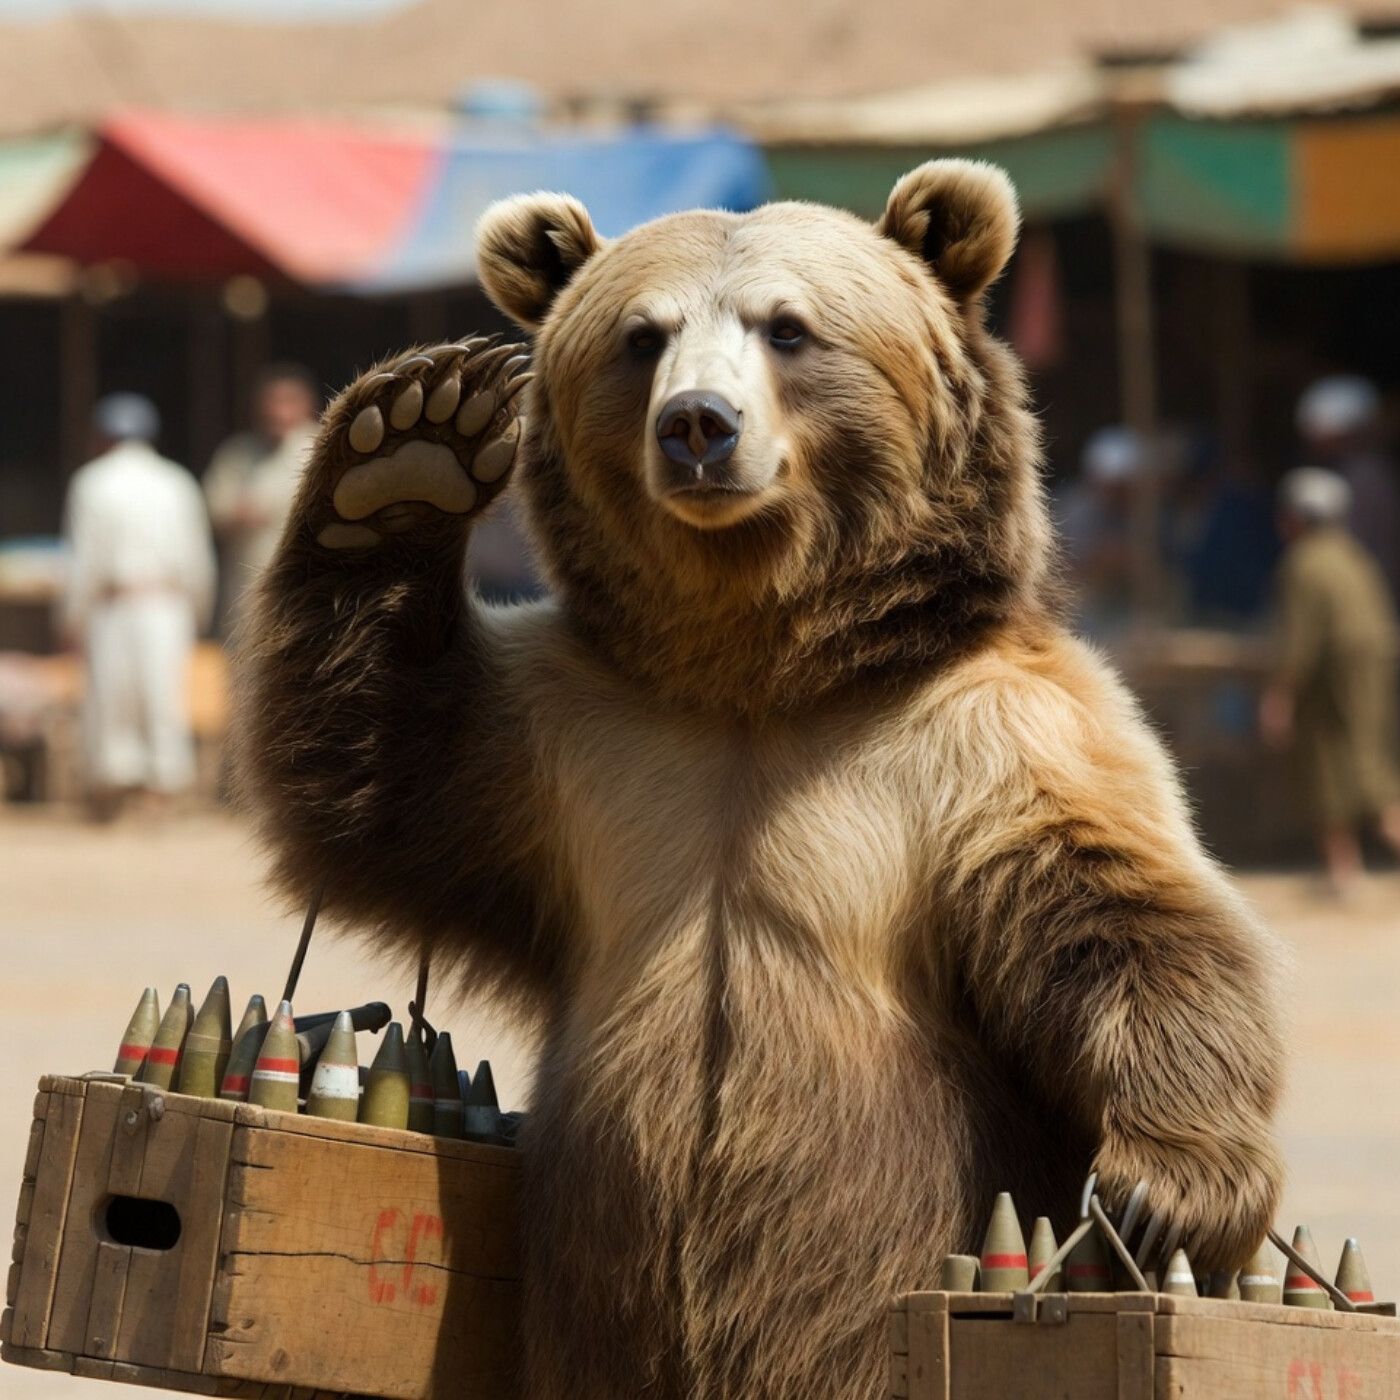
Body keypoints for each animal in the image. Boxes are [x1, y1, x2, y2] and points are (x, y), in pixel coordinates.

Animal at [236, 160, 1285, 1400]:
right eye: (641, 336)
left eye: (787, 327)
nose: (697, 423)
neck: (756, 674)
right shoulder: (572, 750)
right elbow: (383, 775)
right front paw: (411, 442)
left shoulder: (990, 740)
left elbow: (1125, 917)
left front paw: (1166, 1185)